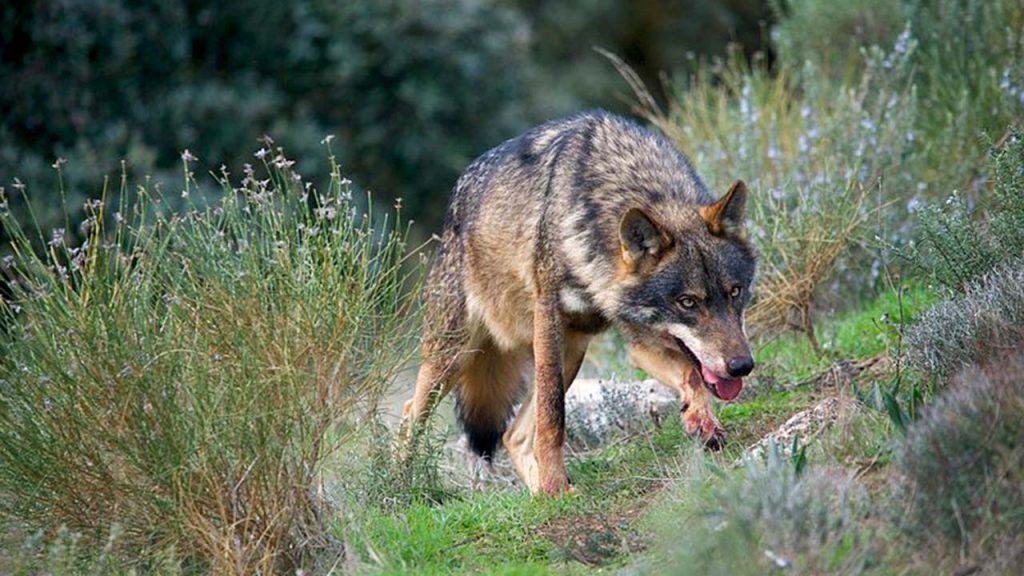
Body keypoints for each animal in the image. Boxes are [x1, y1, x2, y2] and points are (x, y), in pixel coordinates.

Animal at [403, 108, 757, 494]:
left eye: (735, 292)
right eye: (688, 302)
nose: (742, 366)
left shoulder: (639, 340)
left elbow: (691, 374)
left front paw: (701, 421)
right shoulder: (549, 319)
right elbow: (553, 416)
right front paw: (554, 483)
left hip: (571, 352)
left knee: (514, 436)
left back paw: (542, 495)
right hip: (455, 356)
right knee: (410, 415)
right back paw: (402, 483)